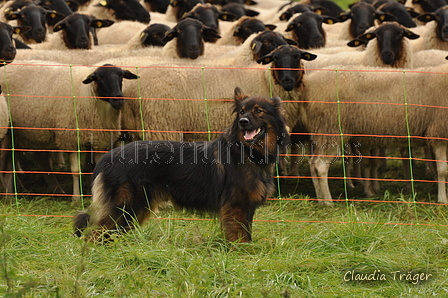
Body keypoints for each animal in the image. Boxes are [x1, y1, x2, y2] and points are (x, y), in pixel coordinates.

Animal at [1, 60, 138, 200]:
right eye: (99, 78)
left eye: (121, 76)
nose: (119, 99)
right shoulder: (70, 139)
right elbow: (76, 171)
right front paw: (76, 198)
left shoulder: (99, 140)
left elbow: (98, 169)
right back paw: (10, 194)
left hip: (24, 135)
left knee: (23, 160)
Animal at [73, 85, 290, 242]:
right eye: (242, 112)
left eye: (258, 111)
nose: (242, 122)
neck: (246, 151)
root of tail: (109, 156)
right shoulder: (236, 205)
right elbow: (239, 234)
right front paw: (241, 252)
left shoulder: (246, 206)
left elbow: (247, 231)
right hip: (126, 206)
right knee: (95, 233)